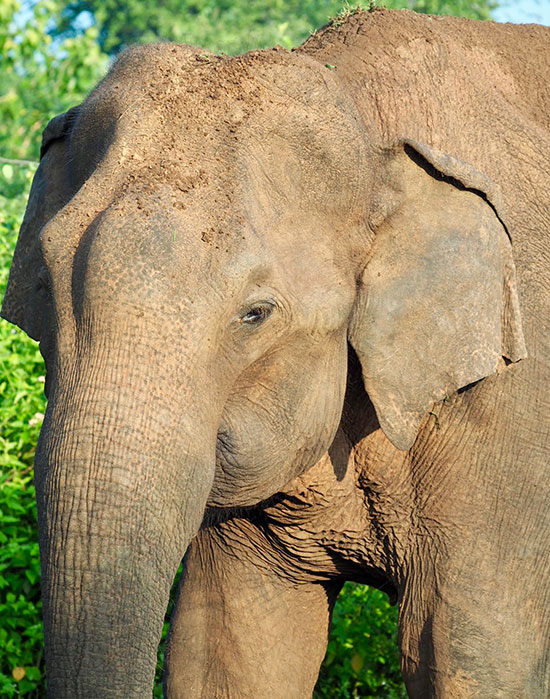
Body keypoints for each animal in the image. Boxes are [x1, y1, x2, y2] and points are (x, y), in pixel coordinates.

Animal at [2, 7, 550, 698]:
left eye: (255, 314)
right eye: (43, 287)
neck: (363, 119)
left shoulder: (509, 416)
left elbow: (476, 654)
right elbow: (229, 652)